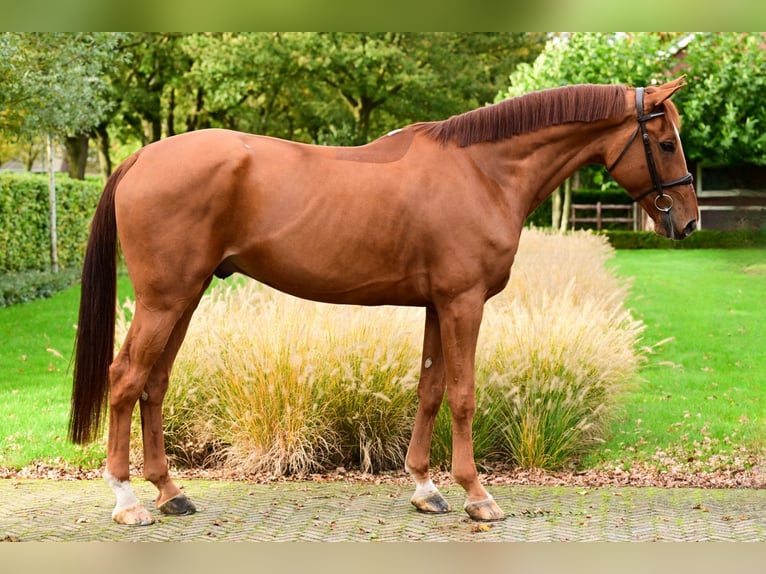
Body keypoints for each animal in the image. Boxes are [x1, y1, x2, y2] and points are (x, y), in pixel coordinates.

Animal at [69, 75, 700, 528]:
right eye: (666, 142)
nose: (690, 223)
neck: (484, 170)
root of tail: (141, 158)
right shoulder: (464, 304)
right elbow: (464, 395)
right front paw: (477, 495)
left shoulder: (437, 306)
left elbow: (429, 390)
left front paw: (425, 488)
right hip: (164, 299)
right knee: (126, 378)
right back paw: (128, 501)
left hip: (187, 296)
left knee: (155, 383)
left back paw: (171, 492)